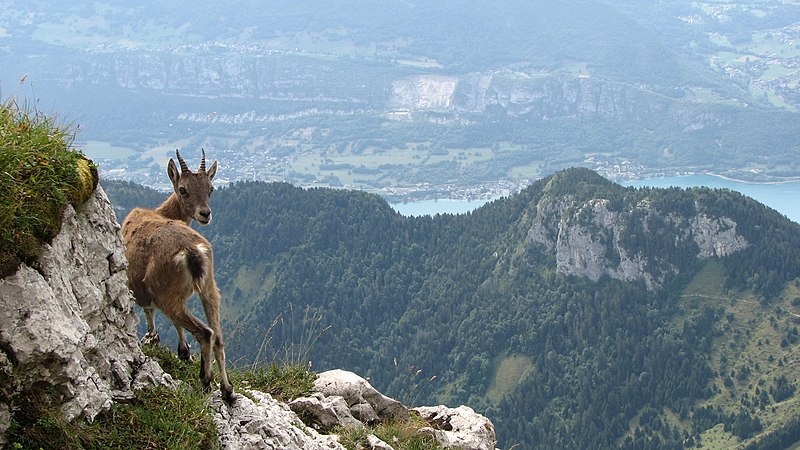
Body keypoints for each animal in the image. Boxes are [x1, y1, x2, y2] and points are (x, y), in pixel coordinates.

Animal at [120, 149, 234, 402]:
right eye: (183, 189)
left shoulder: (145, 289)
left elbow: (150, 312)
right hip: (209, 289)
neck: (160, 212)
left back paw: (205, 380)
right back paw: (228, 390)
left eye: (210, 189)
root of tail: (193, 252)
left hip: (167, 293)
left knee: (205, 332)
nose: (205, 214)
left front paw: (161, 342)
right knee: (219, 337)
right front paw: (183, 351)